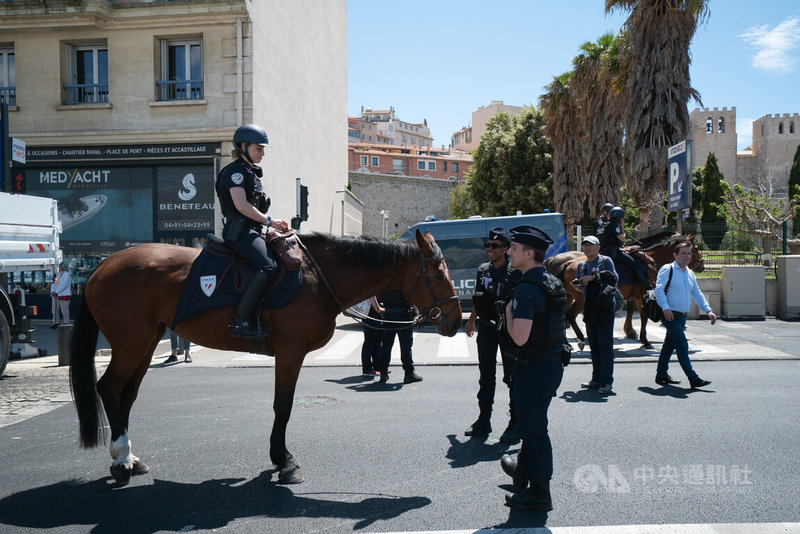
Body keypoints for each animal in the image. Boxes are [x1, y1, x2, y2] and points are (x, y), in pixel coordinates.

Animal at [69, 232, 462, 488]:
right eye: (437, 273)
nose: (457, 320)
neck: (318, 278)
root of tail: (103, 265)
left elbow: (282, 406)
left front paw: (280, 458)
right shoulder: (290, 352)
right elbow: (283, 406)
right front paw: (283, 461)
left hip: (147, 341)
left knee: (126, 394)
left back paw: (129, 459)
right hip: (131, 343)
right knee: (110, 387)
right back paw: (121, 459)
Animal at [544, 234, 700, 352]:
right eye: (695, 249)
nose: (701, 265)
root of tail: (566, 263)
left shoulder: (635, 296)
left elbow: (635, 312)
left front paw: (633, 333)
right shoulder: (642, 295)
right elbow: (643, 317)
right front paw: (644, 340)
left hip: (569, 297)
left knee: (562, 316)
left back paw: (567, 342)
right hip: (581, 299)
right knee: (569, 315)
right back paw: (580, 339)